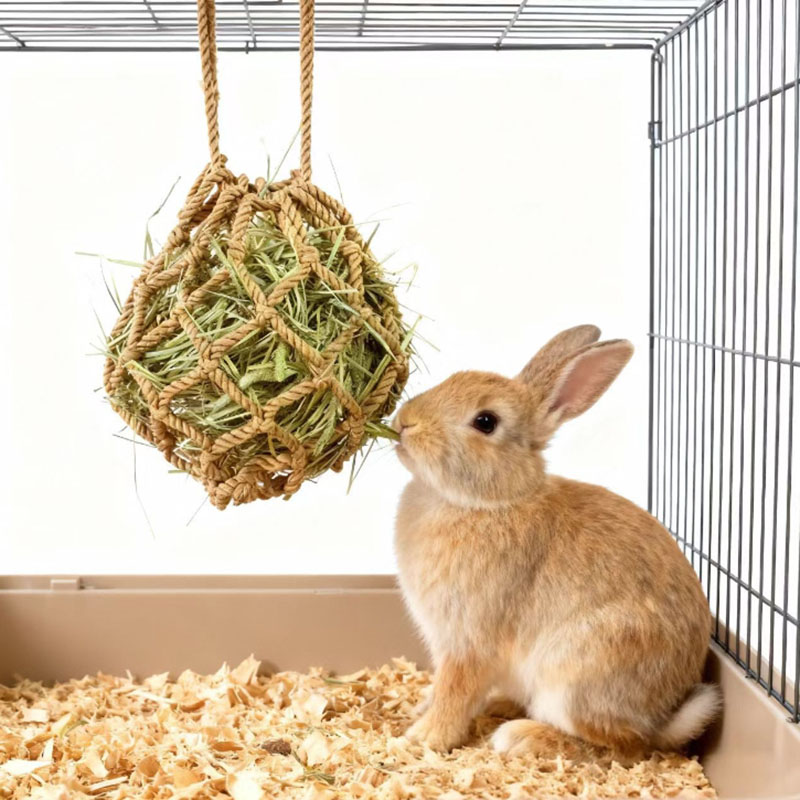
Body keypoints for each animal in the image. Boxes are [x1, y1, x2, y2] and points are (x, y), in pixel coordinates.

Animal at [393, 325, 720, 761]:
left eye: (485, 421)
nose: (404, 423)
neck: (493, 501)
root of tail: (663, 721)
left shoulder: (469, 641)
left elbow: (456, 691)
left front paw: (423, 738)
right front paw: (420, 708)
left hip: (574, 677)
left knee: (618, 745)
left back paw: (521, 736)